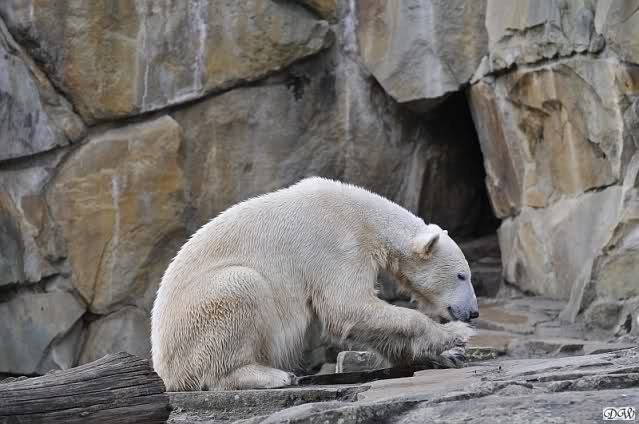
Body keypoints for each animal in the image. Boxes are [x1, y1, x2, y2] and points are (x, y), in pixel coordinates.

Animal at [151, 177, 479, 391]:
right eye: (462, 275)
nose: (473, 312)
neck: (364, 217)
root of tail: (164, 370)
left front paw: (446, 357)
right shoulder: (337, 243)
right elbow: (347, 305)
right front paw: (455, 335)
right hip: (197, 321)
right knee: (243, 287)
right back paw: (274, 376)